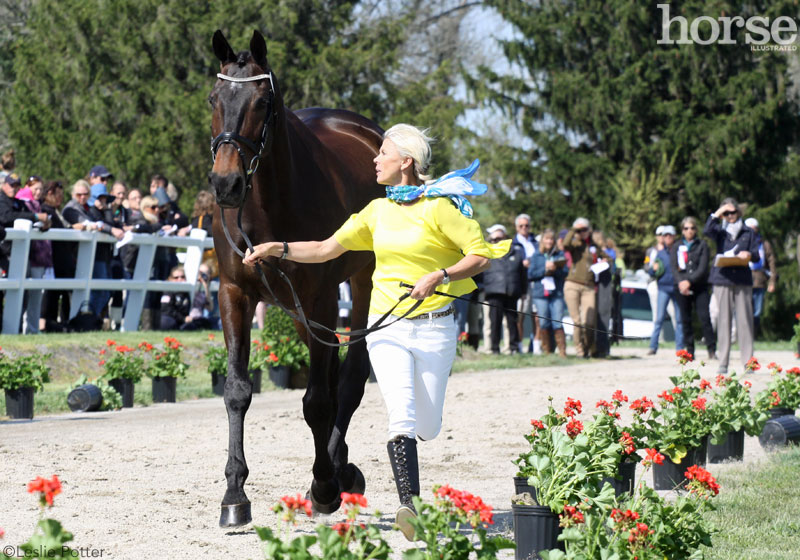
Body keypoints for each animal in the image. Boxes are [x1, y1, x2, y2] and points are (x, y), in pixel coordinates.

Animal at [206, 29, 382, 528]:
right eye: (213, 98)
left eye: (263, 102)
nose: (225, 184)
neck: (266, 206)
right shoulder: (235, 295)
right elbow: (237, 391)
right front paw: (234, 494)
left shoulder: (320, 298)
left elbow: (318, 400)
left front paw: (324, 487)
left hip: (363, 280)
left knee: (350, 374)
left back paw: (337, 472)